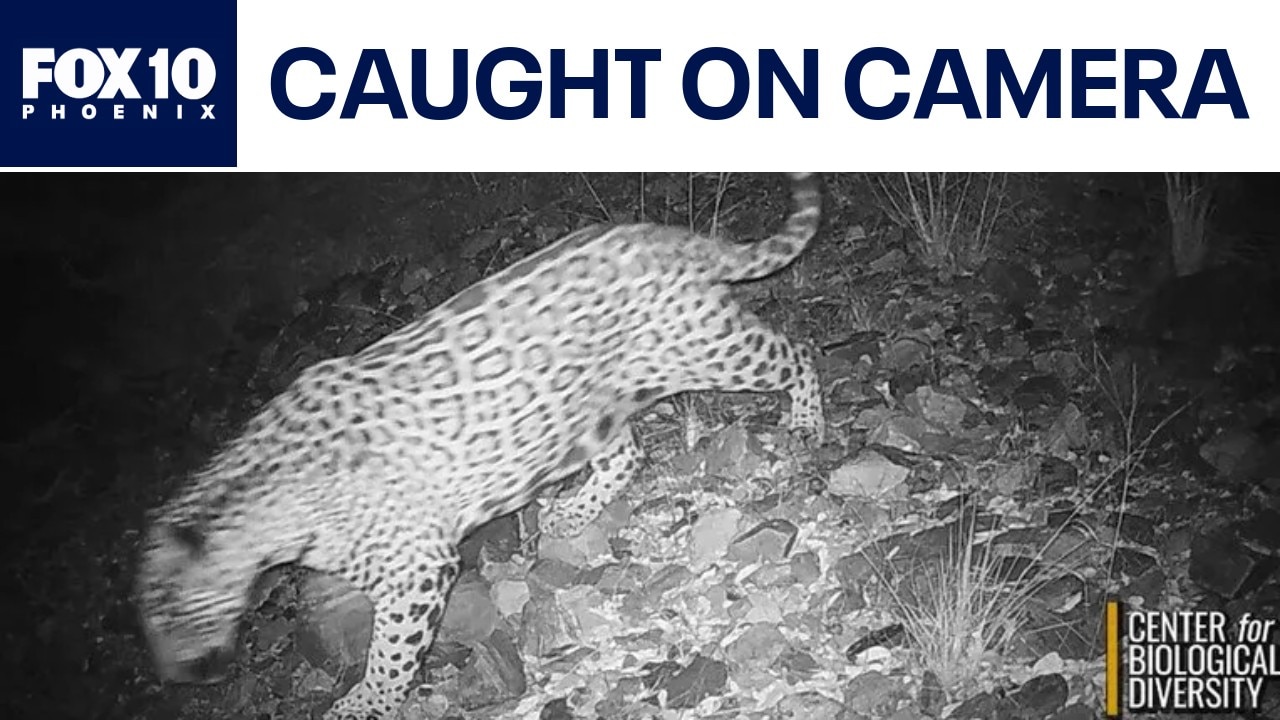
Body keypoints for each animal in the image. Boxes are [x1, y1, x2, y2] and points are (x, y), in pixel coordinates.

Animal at [136, 172, 825, 719]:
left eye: (171, 615)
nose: (173, 679)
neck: (263, 519)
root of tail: (667, 235)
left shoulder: (417, 568)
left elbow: (389, 651)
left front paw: (366, 703)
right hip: (587, 409)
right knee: (626, 455)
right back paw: (570, 514)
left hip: (705, 347)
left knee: (794, 353)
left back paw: (807, 425)